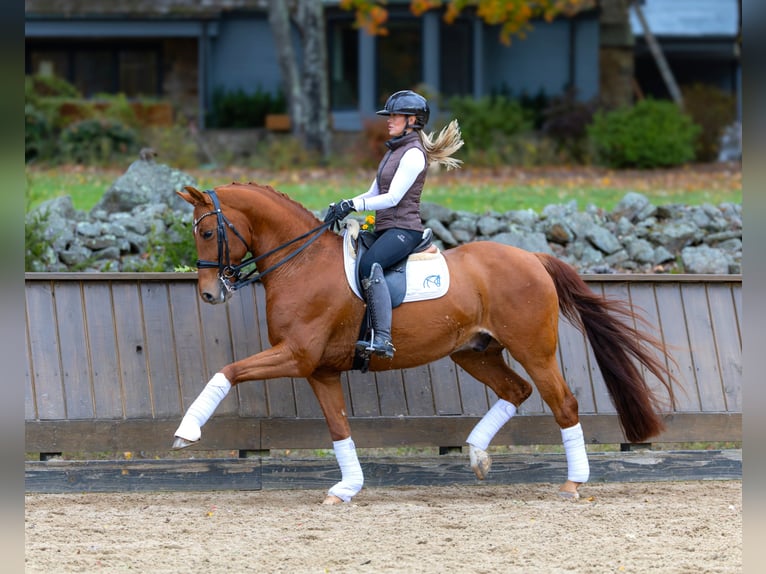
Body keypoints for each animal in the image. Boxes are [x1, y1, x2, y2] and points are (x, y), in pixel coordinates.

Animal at [171, 182, 677, 504]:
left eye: (208, 231)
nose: (210, 294)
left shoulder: (296, 356)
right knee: (516, 391)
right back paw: (477, 454)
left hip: (534, 350)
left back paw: (574, 483)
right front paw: (347, 489)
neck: (302, 264)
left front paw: (186, 432)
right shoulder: (320, 369)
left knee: (563, 403)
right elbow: (339, 429)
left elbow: (227, 371)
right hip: (475, 352)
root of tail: (533, 257)